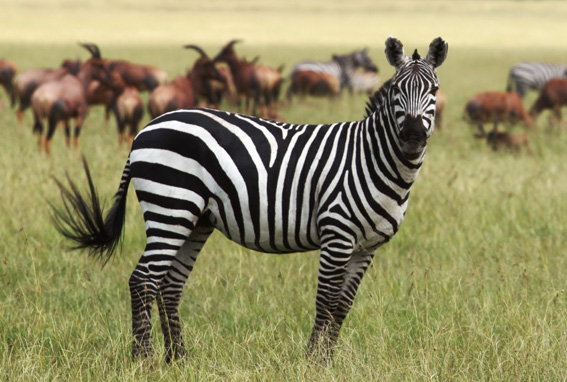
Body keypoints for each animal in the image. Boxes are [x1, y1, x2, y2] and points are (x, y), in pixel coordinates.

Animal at [50, 36, 448, 364]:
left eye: (434, 89)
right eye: (396, 90)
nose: (413, 135)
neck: (372, 158)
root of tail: (145, 129)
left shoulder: (367, 247)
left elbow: (342, 306)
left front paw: (330, 360)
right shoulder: (337, 234)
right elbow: (325, 301)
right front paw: (313, 363)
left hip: (195, 219)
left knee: (169, 285)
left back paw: (178, 358)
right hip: (170, 207)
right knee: (143, 279)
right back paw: (143, 359)